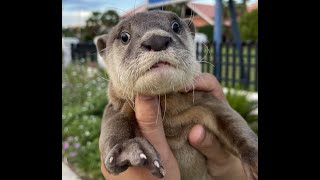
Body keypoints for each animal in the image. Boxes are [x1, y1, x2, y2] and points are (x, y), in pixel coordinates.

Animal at [95, 10, 258, 180]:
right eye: (124, 36)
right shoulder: (117, 107)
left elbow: (234, 123)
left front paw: (254, 157)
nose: (157, 40)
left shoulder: (207, 101)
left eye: (175, 26)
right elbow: (113, 126)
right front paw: (128, 148)